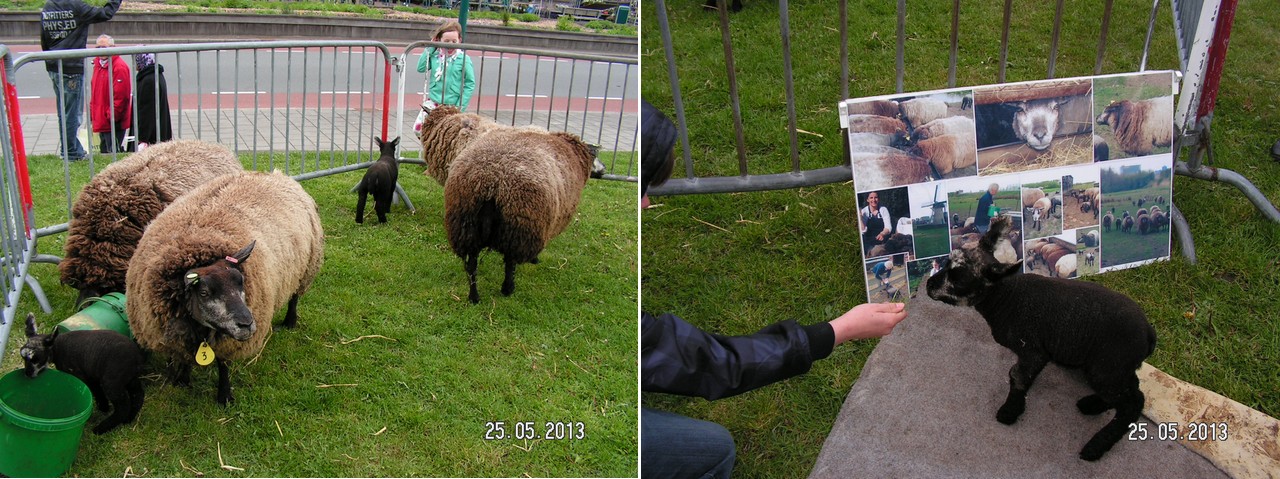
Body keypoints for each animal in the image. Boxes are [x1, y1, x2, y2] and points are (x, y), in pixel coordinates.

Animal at [126, 170, 325, 402]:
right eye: (203, 292)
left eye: (241, 282)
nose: (247, 324)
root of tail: (276, 174)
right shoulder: (178, 338)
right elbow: (183, 359)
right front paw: (182, 380)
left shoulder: (228, 342)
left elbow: (223, 364)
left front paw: (224, 396)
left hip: (306, 267)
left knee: (294, 297)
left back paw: (290, 321)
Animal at [926, 216, 1157, 461]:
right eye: (946, 264)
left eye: (959, 279)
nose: (928, 286)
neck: (1007, 298)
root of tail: (1148, 333)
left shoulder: (1032, 349)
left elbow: (1017, 376)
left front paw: (1010, 411)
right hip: (1116, 367)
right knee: (1132, 390)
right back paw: (1092, 405)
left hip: (1109, 365)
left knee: (1132, 404)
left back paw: (1095, 447)